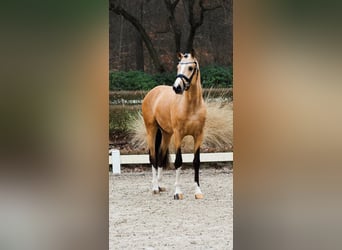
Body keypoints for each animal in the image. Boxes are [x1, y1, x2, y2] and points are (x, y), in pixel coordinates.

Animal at [141, 49, 206, 200]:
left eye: (190, 68)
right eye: (178, 67)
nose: (177, 88)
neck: (192, 106)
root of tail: (152, 92)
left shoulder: (198, 136)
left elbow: (196, 162)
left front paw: (198, 191)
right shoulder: (178, 135)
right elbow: (178, 161)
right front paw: (178, 192)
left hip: (166, 134)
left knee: (160, 157)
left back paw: (160, 185)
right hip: (151, 130)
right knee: (153, 157)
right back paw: (155, 188)